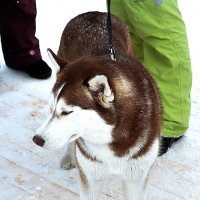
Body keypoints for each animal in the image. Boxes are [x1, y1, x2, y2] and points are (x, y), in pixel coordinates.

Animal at [32, 11, 161, 199]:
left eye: (67, 112)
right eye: (51, 109)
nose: (37, 140)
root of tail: (93, 13)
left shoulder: (136, 178)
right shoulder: (89, 175)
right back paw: (69, 156)